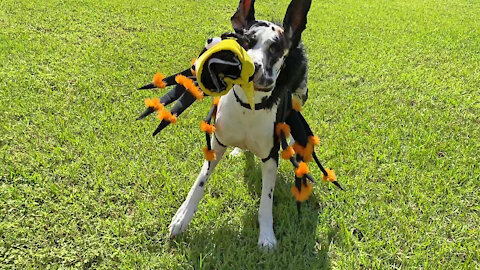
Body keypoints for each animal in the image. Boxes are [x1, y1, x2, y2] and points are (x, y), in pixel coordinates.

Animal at [169, 0, 312, 249]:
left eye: (276, 48)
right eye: (244, 42)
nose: (252, 66)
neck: (248, 107)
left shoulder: (270, 158)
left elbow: (266, 202)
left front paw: (267, 236)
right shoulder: (216, 146)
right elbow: (198, 185)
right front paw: (182, 217)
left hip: (298, 98)